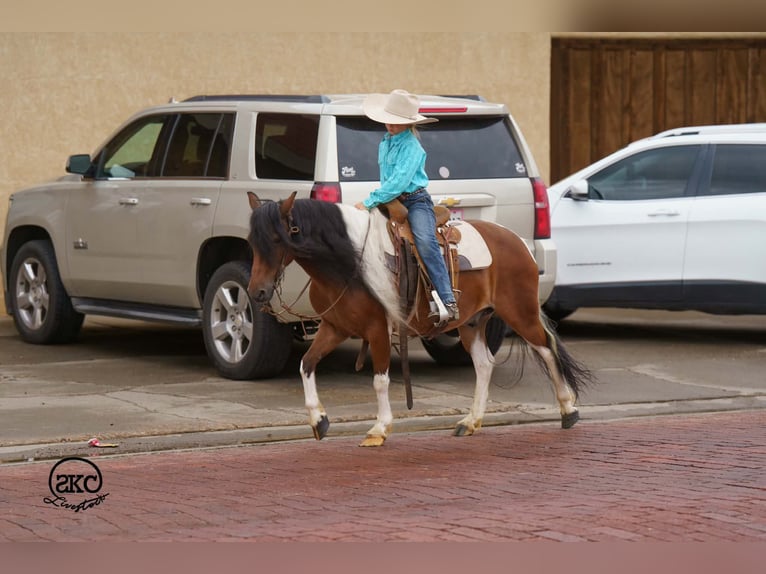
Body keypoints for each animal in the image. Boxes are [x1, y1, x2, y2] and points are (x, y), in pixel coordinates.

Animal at [246, 191, 593, 447]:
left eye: (277, 239)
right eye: (251, 241)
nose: (257, 292)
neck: (348, 265)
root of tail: (517, 241)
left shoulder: (377, 329)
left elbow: (380, 380)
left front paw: (379, 429)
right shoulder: (335, 327)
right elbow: (306, 364)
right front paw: (319, 420)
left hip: (520, 312)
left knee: (546, 349)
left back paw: (568, 409)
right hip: (472, 322)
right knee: (484, 364)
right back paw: (470, 422)